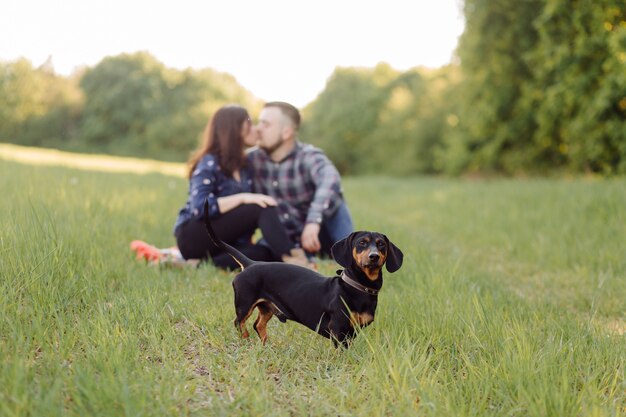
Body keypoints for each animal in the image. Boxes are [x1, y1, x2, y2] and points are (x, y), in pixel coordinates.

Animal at [202, 200, 402, 346]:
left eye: (381, 245)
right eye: (362, 243)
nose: (374, 256)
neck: (358, 287)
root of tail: (250, 263)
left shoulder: (353, 331)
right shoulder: (338, 328)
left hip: (266, 307)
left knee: (258, 325)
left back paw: (267, 345)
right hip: (245, 303)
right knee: (239, 323)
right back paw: (245, 342)